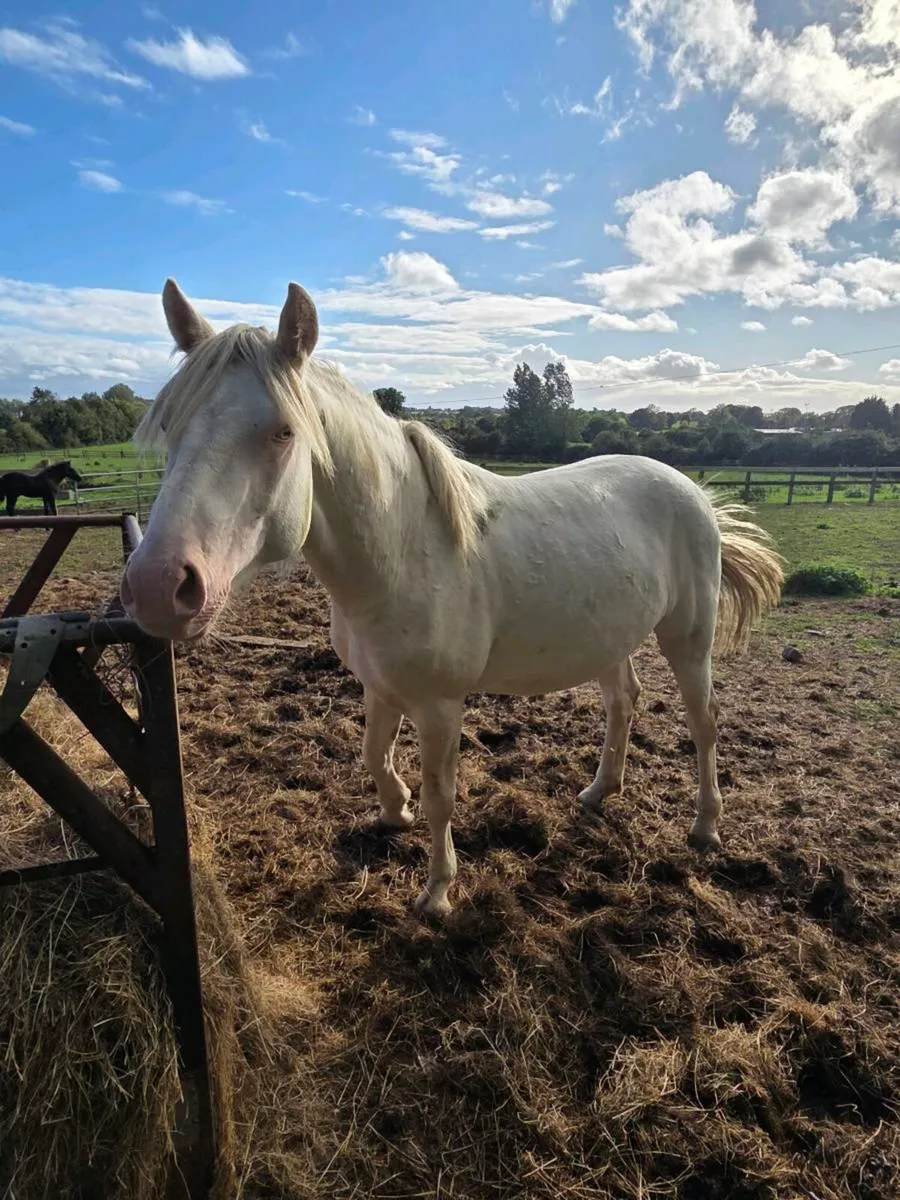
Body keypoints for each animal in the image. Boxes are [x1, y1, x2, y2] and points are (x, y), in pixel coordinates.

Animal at [121, 278, 784, 918]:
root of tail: (691, 490)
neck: (399, 553)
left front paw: (437, 891)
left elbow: (442, 795)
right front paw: (394, 811)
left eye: (283, 432)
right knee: (623, 700)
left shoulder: (440, 707)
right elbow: (374, 755)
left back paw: (705, 827)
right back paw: (600, 792)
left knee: (704, 723)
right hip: (610, 638)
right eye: (169, 426)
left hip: (688, 640)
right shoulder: (379, 686)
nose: (156, 587)